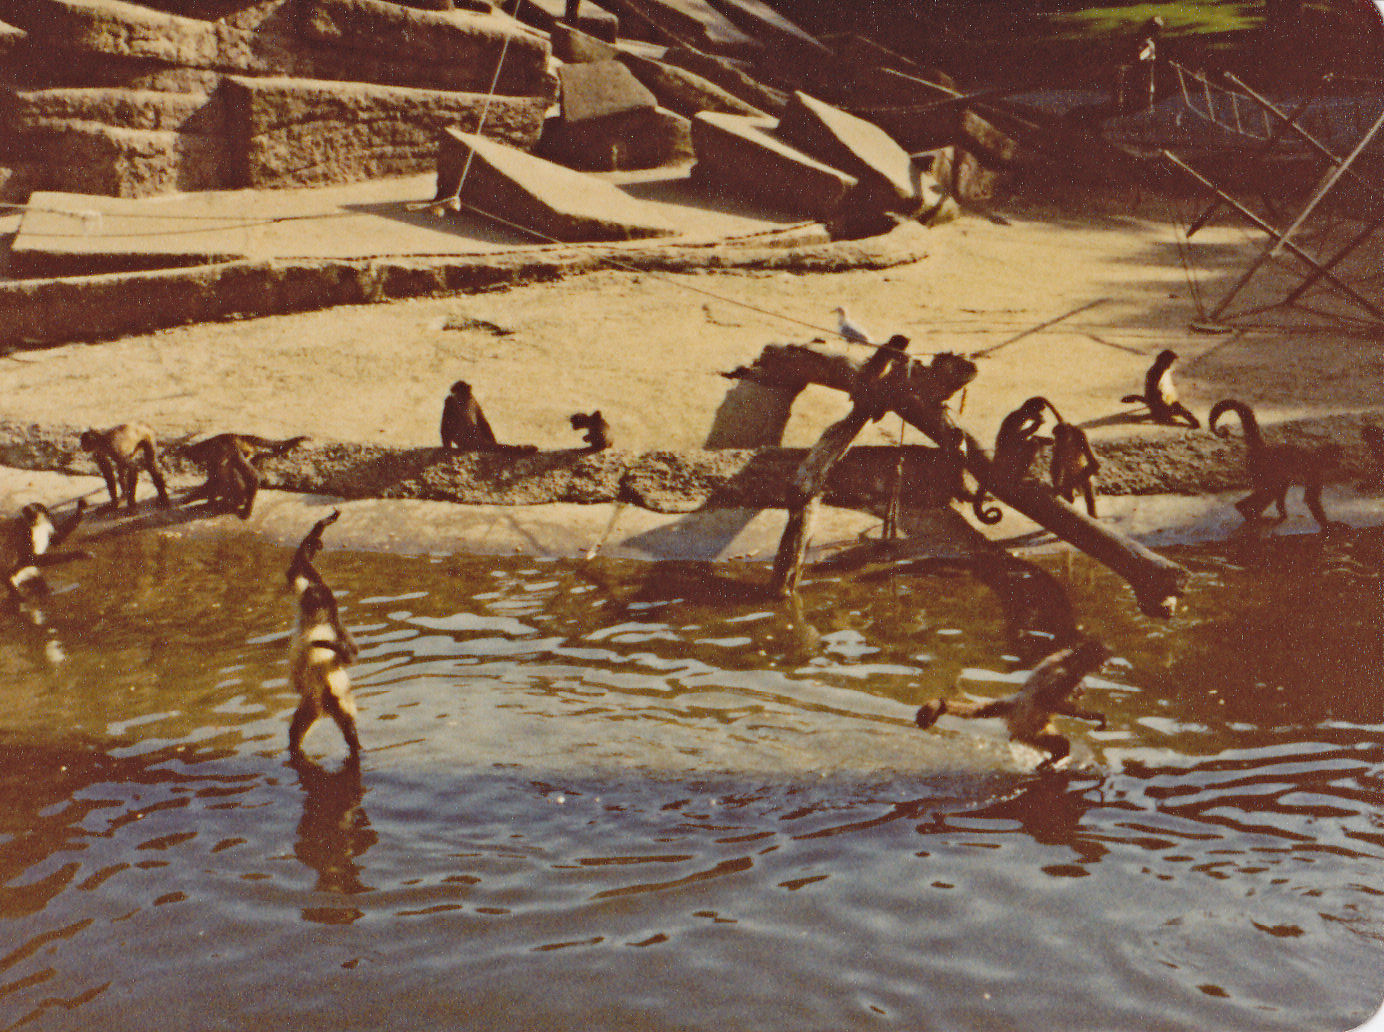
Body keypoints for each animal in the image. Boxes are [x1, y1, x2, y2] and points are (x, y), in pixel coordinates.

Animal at [285, 509, 362, 759]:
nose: (311, 601)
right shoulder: (304, 590)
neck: (315, 622)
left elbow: (351, 655)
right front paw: (323, 523)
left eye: (318, 601)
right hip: (312, 701)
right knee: (295, 733)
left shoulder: (336, 626)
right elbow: (297, 567)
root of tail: (325, 706)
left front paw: (328, 646)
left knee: (349, 730)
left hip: (335, 697)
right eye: (310, 600)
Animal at [915, 635, 1112, 768]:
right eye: (1100, 660)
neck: (1070, 660)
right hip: (1026, 730)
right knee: (1060, 742)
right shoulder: (1063, 676)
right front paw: (1095, 715)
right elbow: (1048, 701)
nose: (1104, 667)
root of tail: (1013, 704)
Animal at [1209, 399, 1346, 531]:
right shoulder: (1315, 471)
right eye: (1336, 458)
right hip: (1262, 468)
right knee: (1271, 489)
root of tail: (1263, 448)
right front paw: (1328, 525)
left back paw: (1274, 514)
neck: (1317, 456)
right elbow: (1311, 498)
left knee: (1280, 484)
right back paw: (1246, 511)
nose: (1339, 464)